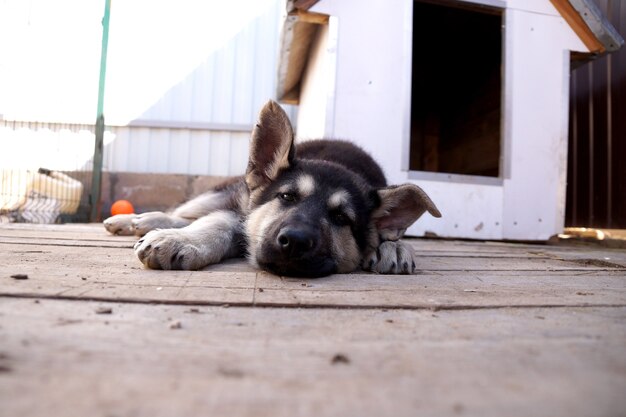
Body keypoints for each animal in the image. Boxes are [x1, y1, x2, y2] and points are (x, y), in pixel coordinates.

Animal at [103, 100, 438, 276]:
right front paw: (182, 240)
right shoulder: (241, 211)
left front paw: (393, 247)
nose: (295, 241)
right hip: (230, 192)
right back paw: (136, 220)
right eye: (287, 196)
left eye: (342, 218)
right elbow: (216, 224)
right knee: (186, 211)